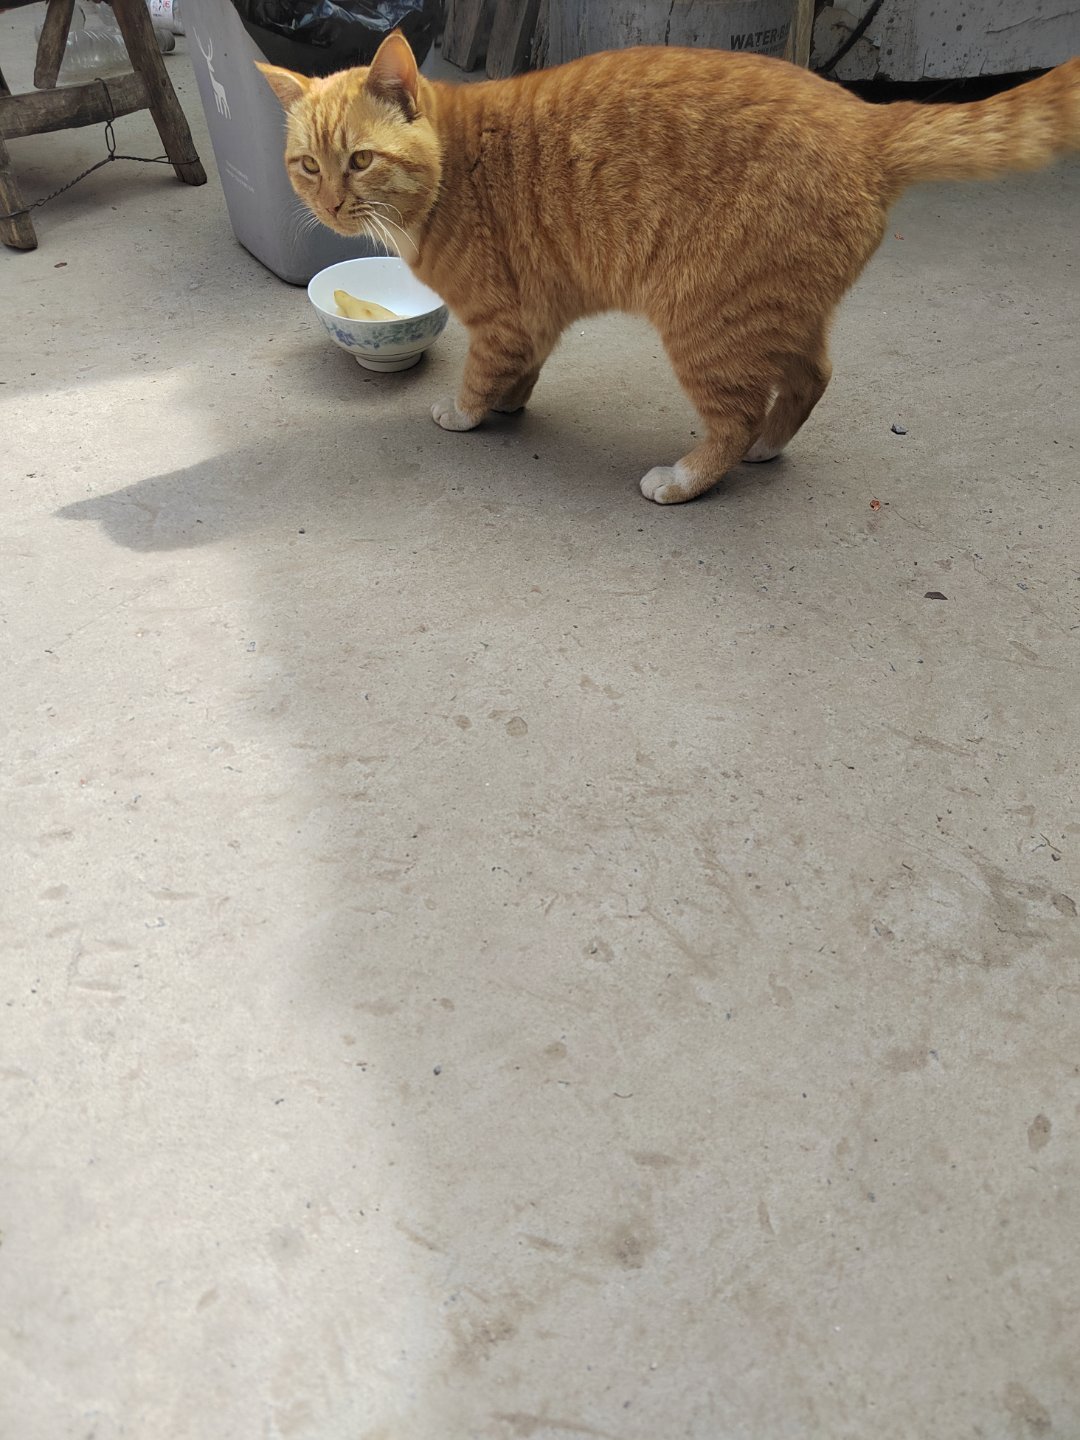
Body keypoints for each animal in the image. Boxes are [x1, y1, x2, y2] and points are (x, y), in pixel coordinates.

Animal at [259, 34, 1080, 504]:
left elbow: (479, 375)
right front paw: (512, 406)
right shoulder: (534, 315)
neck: (453, 170)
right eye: (307, 166)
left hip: (706, 321)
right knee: (812, 378)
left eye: (360, 161)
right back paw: (770, 445)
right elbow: (520, 369)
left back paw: (684, 478)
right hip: (781, 312)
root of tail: (868, 119)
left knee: (736, 416)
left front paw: (466, 414)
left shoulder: (501, 316)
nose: (330, 206)